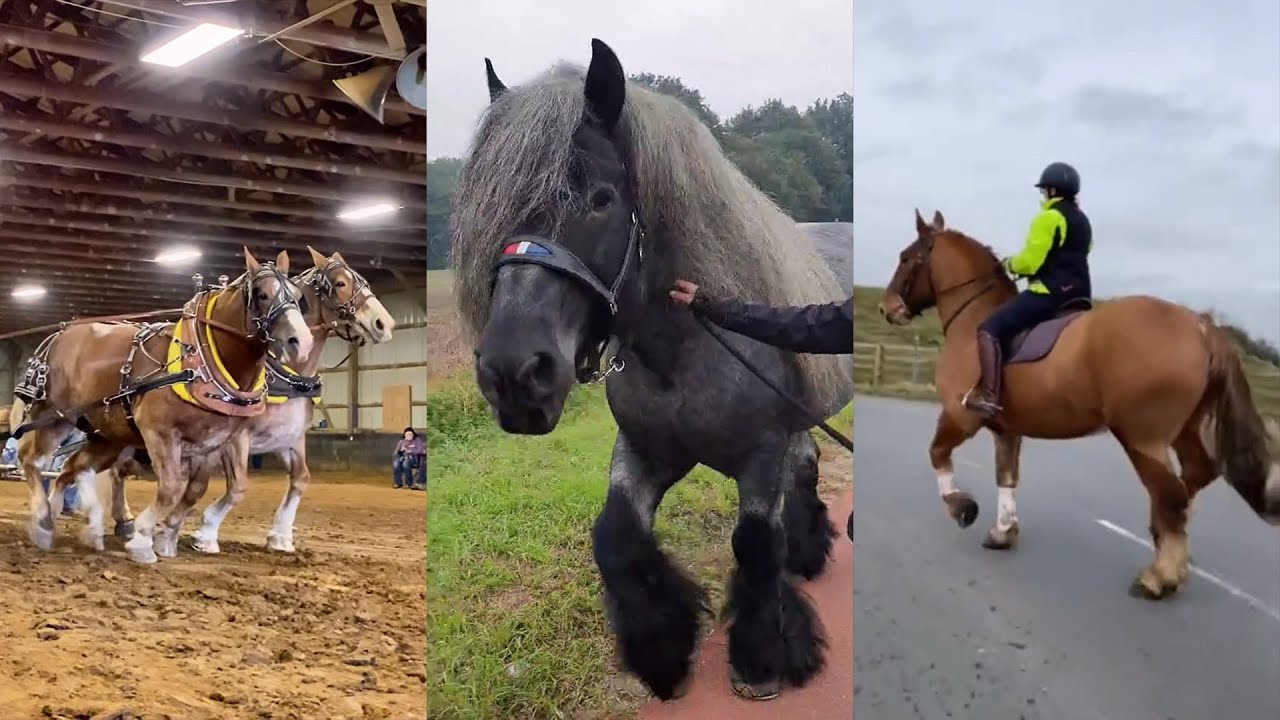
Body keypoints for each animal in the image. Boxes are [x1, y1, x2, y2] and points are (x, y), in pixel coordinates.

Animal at [11, 249, 313, 564]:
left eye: (297, 295)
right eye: (262, 294)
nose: (301, 342)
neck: (200, 361)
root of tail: (59, 335)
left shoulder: (213, 443)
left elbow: (194, 490)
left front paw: (167, 538)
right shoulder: (160, 433)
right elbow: (170, 487)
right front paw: (142, 540)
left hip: (105, 435)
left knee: (71, 468)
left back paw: (70, 523)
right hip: (52, 417)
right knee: (32, 461)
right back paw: (43, 519)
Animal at [451, 40, 853, 701]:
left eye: (601, 198)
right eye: (495, 205)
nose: (514, 375)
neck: (682, 351)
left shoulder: (761, 453)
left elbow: (755, 544)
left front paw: (763, 656)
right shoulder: (645, 450)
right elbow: (615, 536)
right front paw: (662, 652)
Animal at [877, 209, 1280, 600]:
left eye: (906, 257)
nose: (887, 309)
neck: (975, 317)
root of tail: (1201, 326)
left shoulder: (961, 417)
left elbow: (937, 454)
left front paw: (962, 507)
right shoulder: (1007, 430)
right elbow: (1006, 476)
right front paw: (1003, 532)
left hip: (1142, 438)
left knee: (1170, 494)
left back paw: (1158, 576)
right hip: (1187, 432)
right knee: (1189, 484)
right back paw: (1171, 559)